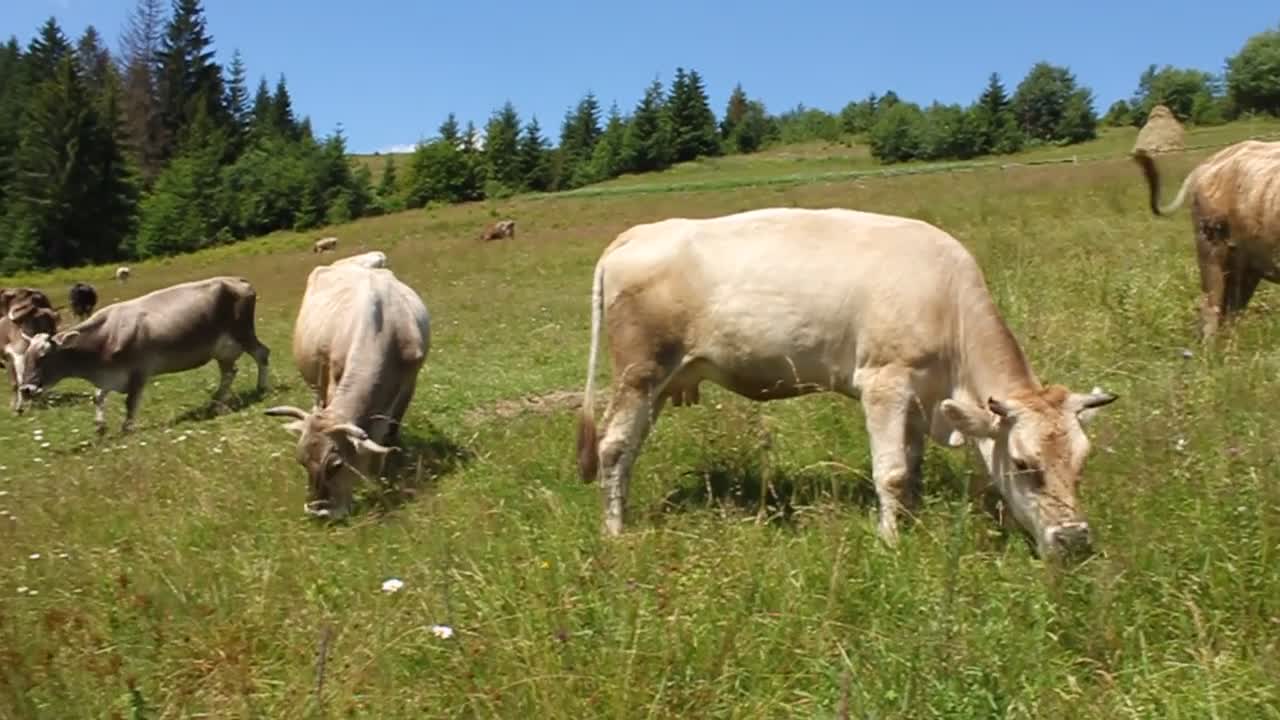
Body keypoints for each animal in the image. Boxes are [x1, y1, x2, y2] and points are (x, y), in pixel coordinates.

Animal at [11, 274, 272, 430]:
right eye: (26, 357)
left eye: (43, 356)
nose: (25, 389)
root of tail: (236, 279)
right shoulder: (110, 375)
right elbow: (98, 396)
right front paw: (100, 426)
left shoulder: (138, 371)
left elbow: (130, 403)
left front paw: (127, 429)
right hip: (222, 348)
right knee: (229, 372)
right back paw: (216, 401)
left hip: (242, 332)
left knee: (262, 354)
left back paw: (261, 388)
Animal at [263, 260, 430, 517]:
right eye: (301, 460)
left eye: (335, 465)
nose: (317, 511)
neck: (384, 328)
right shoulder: (334, 379)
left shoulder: (408, 384)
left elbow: (388, 431)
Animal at [573, 207, 1121, 561]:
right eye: (1025, 465)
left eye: (1082, 462)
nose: (1075, 541)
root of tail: (637, 233)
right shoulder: (885, 381)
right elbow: (891, 472)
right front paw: (891, 542)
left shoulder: (919, 399)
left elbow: (912, 468)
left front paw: (912, 522)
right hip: (640, 371)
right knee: (614, 446)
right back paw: (615, 531)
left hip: (661, 382)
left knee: (630, 446)